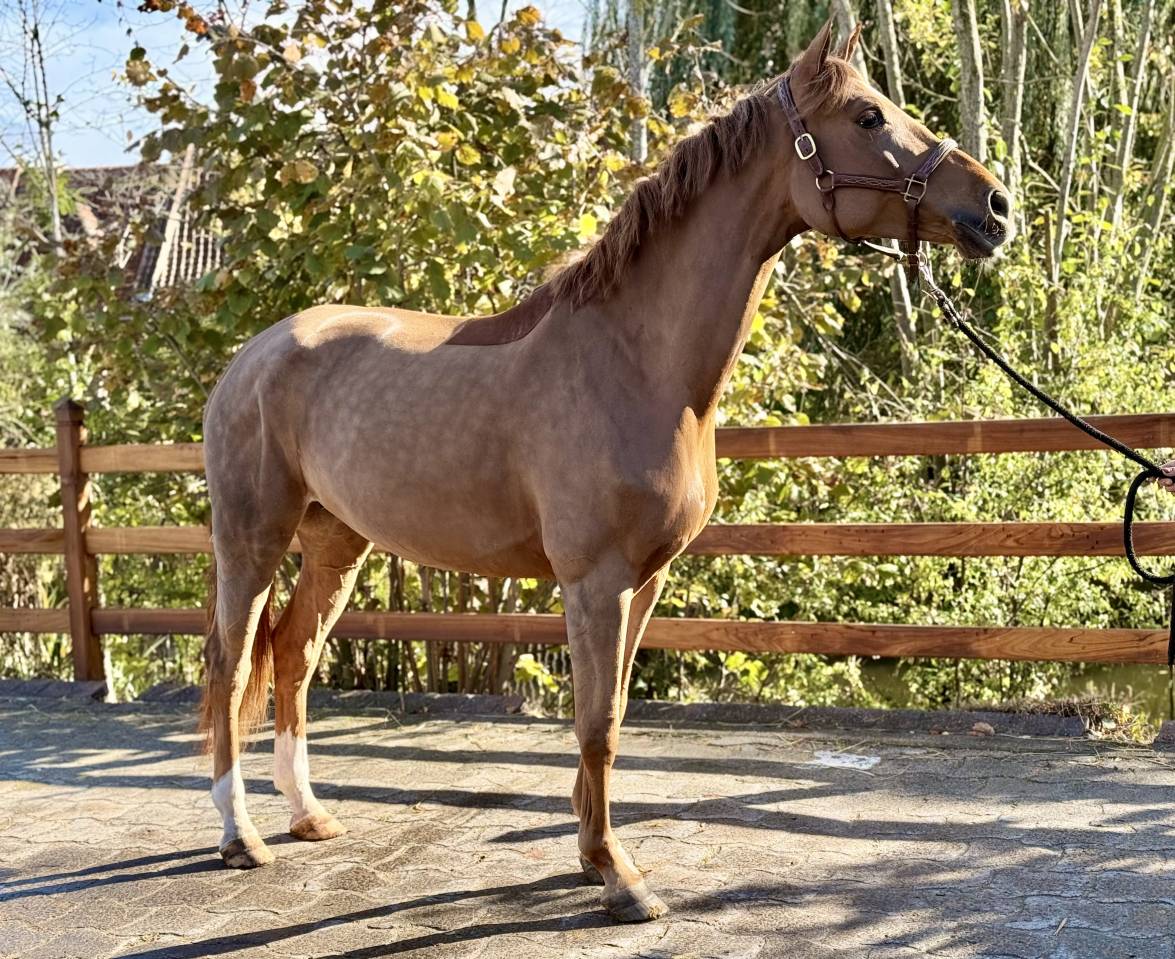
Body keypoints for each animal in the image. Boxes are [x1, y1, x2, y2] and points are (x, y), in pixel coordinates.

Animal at [199, 20, 1012, 923]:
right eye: (869, 117)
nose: (994, 207)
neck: (636, 362)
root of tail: (253, 355)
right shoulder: (595, 582)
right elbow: (593, 723)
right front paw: (616, 876)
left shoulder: (645, 580)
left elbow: (615, 715)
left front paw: (594, 858)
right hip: (252, 538)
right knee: (230, 662)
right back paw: (241, 836)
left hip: (336, 542)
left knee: (292, 654)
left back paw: (308, 814)